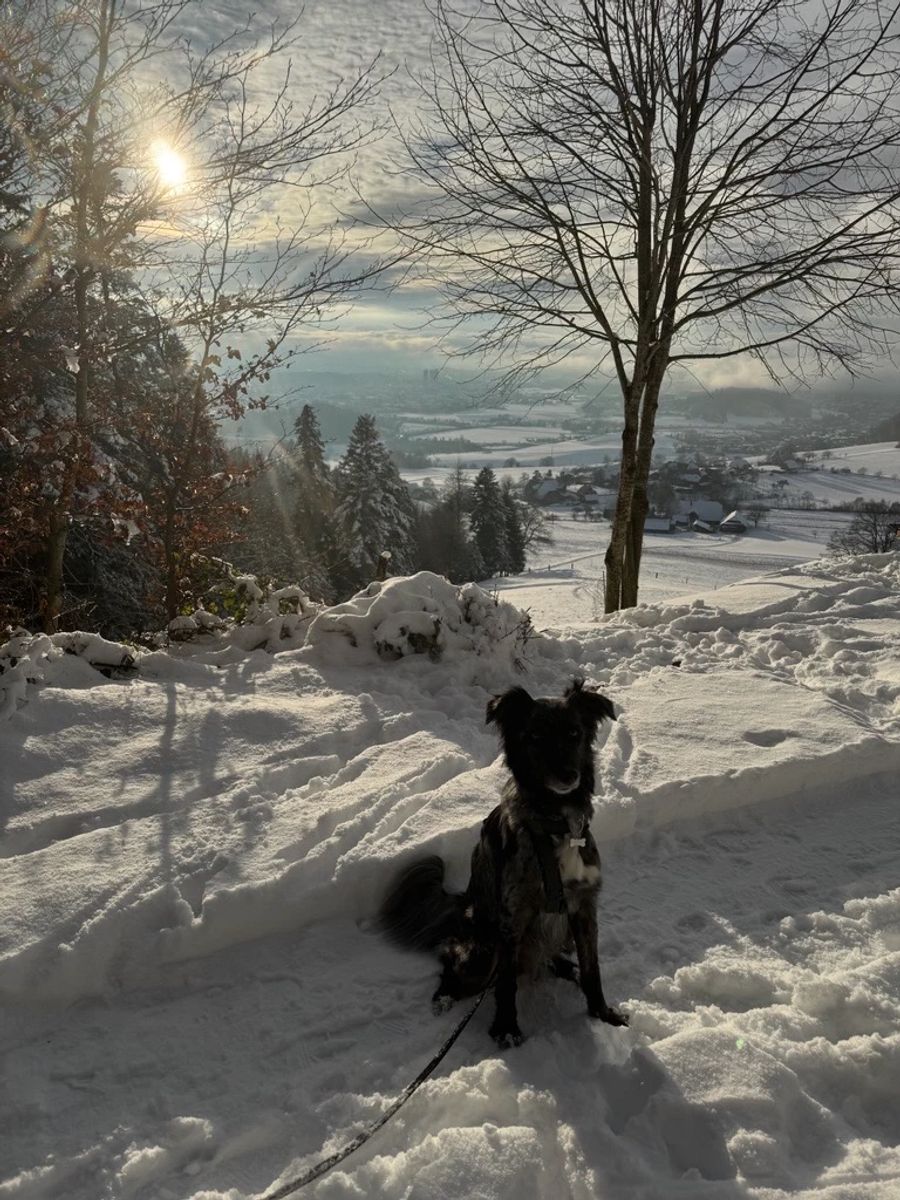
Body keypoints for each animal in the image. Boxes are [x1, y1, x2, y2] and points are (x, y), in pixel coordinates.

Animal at [379, 681, 628, 1046]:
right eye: (536, 735)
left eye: (574, 732)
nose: (568, 775)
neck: (554, 823)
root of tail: (463, 907)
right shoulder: (513, 916)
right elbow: (507, 980)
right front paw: (506, 1029)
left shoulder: (583, 906)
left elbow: (592, 967)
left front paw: (603, 1014)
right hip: (483, 950)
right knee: (452, 960)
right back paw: (444, 998)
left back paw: (564, 967)